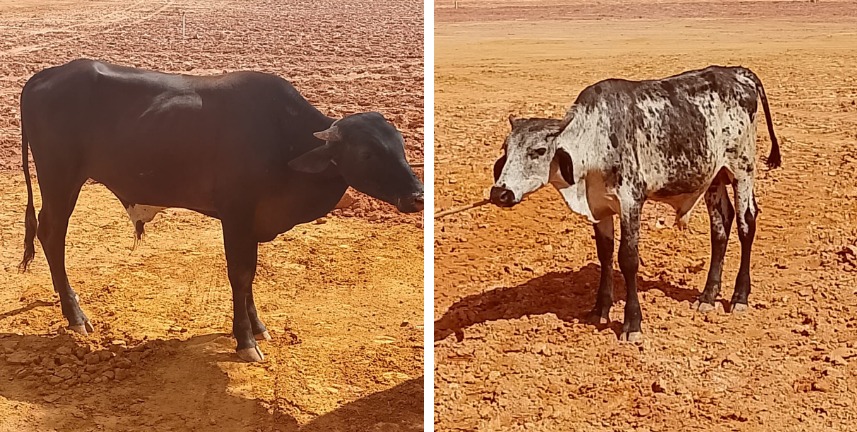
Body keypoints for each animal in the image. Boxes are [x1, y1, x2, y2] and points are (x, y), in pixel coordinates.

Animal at [18, 59, 423, 362]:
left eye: (401, 145)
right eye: (367, 153)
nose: (418, 196)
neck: (283, 139)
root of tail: (43, 76)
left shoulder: (252, 222)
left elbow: (251, 276)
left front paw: (257, 326)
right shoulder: (236, 216)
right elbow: (240, 275)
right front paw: (245, 340)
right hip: (60, 179)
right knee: (51, 235)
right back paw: (75, 315)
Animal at [490, 65, 780, 342]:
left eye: (538, 151)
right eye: (506, 149)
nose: (499, 193)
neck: (594, 140)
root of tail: (737, 72)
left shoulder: (631, 202)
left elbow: (627, 259)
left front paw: (632, 323)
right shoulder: (601, 208)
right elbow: (605, 255)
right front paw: (599, 310)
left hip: (742, 171)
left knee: (746, 224)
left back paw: (740, 297)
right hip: (714, 177)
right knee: (720, 227)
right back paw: (708, 296)